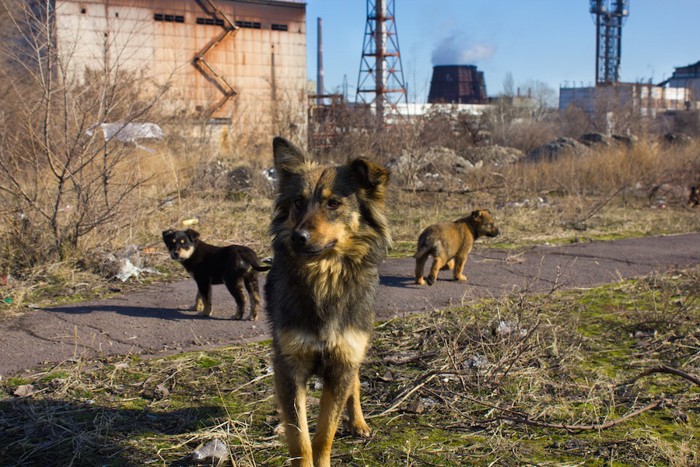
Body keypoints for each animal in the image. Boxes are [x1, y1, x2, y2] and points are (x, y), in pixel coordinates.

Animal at [264, 137, 392, 466]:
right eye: (298, 202)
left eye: (333, 203)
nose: (298, 237)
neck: (324, 277)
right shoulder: (289, 364)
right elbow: (300, 436)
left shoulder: (343, 360)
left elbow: (324, 435)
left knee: (356, 384)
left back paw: (358, 422)